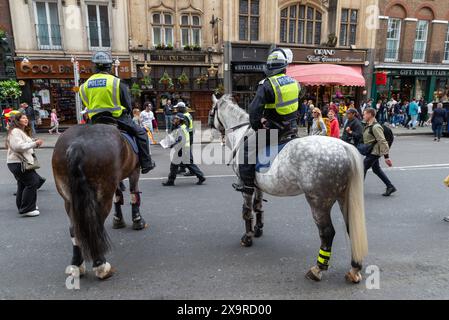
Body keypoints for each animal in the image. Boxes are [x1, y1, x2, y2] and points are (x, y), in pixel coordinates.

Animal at [52, 124, 147, 278]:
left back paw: (76, 265)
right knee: (96, 225)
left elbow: (118, 197)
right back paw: (101, 266)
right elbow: (134, 195)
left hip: (69, 199)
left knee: (74, 229)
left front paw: (118, 219)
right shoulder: (134, 171)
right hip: (103, 195)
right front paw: (137, 220)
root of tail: (76, 145)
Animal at [210, 94, 368, 282]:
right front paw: (258, 229)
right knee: (351, 228)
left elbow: (247, 211)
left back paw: (317, 269)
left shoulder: (245, 183)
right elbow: (258, 206)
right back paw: (354, 269)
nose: (211, 129)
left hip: (319, 203)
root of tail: (344, 147)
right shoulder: (257, 185)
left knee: (327, 233)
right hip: (344, 198)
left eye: (211, 112)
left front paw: (247, 238)